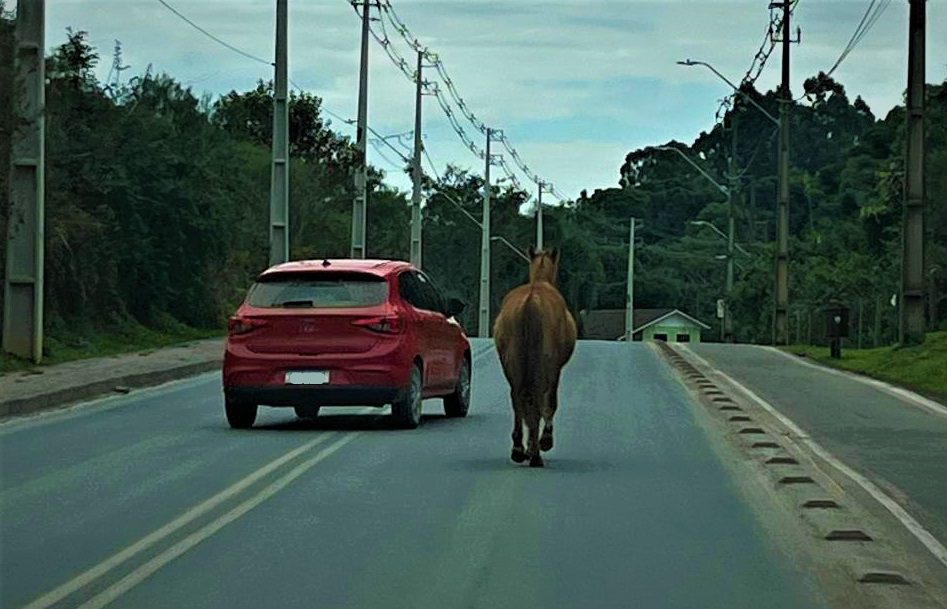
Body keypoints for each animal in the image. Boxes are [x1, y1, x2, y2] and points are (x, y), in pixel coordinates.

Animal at [496, 247, 576, 466]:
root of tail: (530, 302)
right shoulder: (556, 367)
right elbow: (551, 402)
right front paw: (545, 441)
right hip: (545, 363)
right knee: (538, 398)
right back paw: (536, 452)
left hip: (512, 363)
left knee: (518, 399)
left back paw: (518, 449)